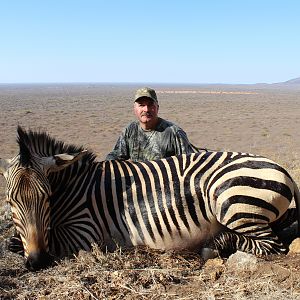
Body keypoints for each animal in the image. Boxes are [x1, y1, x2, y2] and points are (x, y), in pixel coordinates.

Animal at [0, 125, 298, 270]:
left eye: (47, 198)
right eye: (10, 201)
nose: (37, 262)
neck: (75, 186)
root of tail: (282, 169)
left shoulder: (85, 232)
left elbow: (33, 240)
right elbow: (15, 240)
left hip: (231, 201)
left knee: (272, 245)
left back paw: (214, 245)